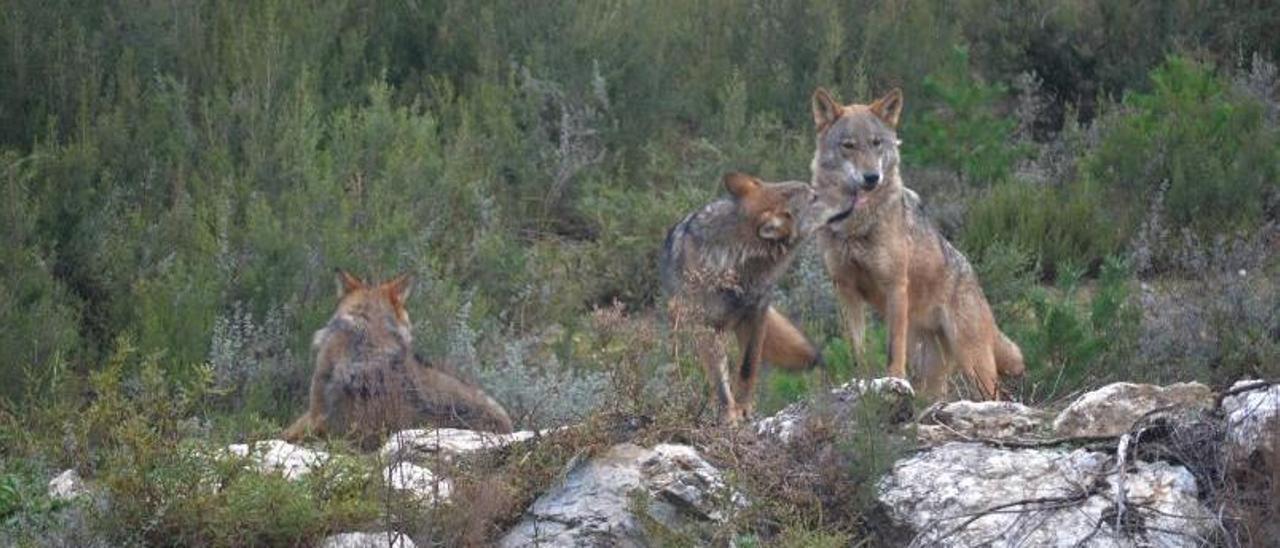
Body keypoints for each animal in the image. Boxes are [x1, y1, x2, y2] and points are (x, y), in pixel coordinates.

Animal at [660, 171, 839, 425]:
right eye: (814, 197)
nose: (852, 190)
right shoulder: (704, 326)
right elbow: (719, 381)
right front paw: (729, 414)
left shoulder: (756, 315)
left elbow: (747, 367)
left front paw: (743, 409)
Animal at [808, 88, 1029, 396]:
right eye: (849, 146)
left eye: (876, 143)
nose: (871, 177)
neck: (855, 225)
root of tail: (974, 278)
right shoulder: (845, 290)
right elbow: (857, 349)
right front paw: (860, 382)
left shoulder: (895, 286)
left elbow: (893, 349)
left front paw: (894, 381)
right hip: (932, 371)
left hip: (973, 364)